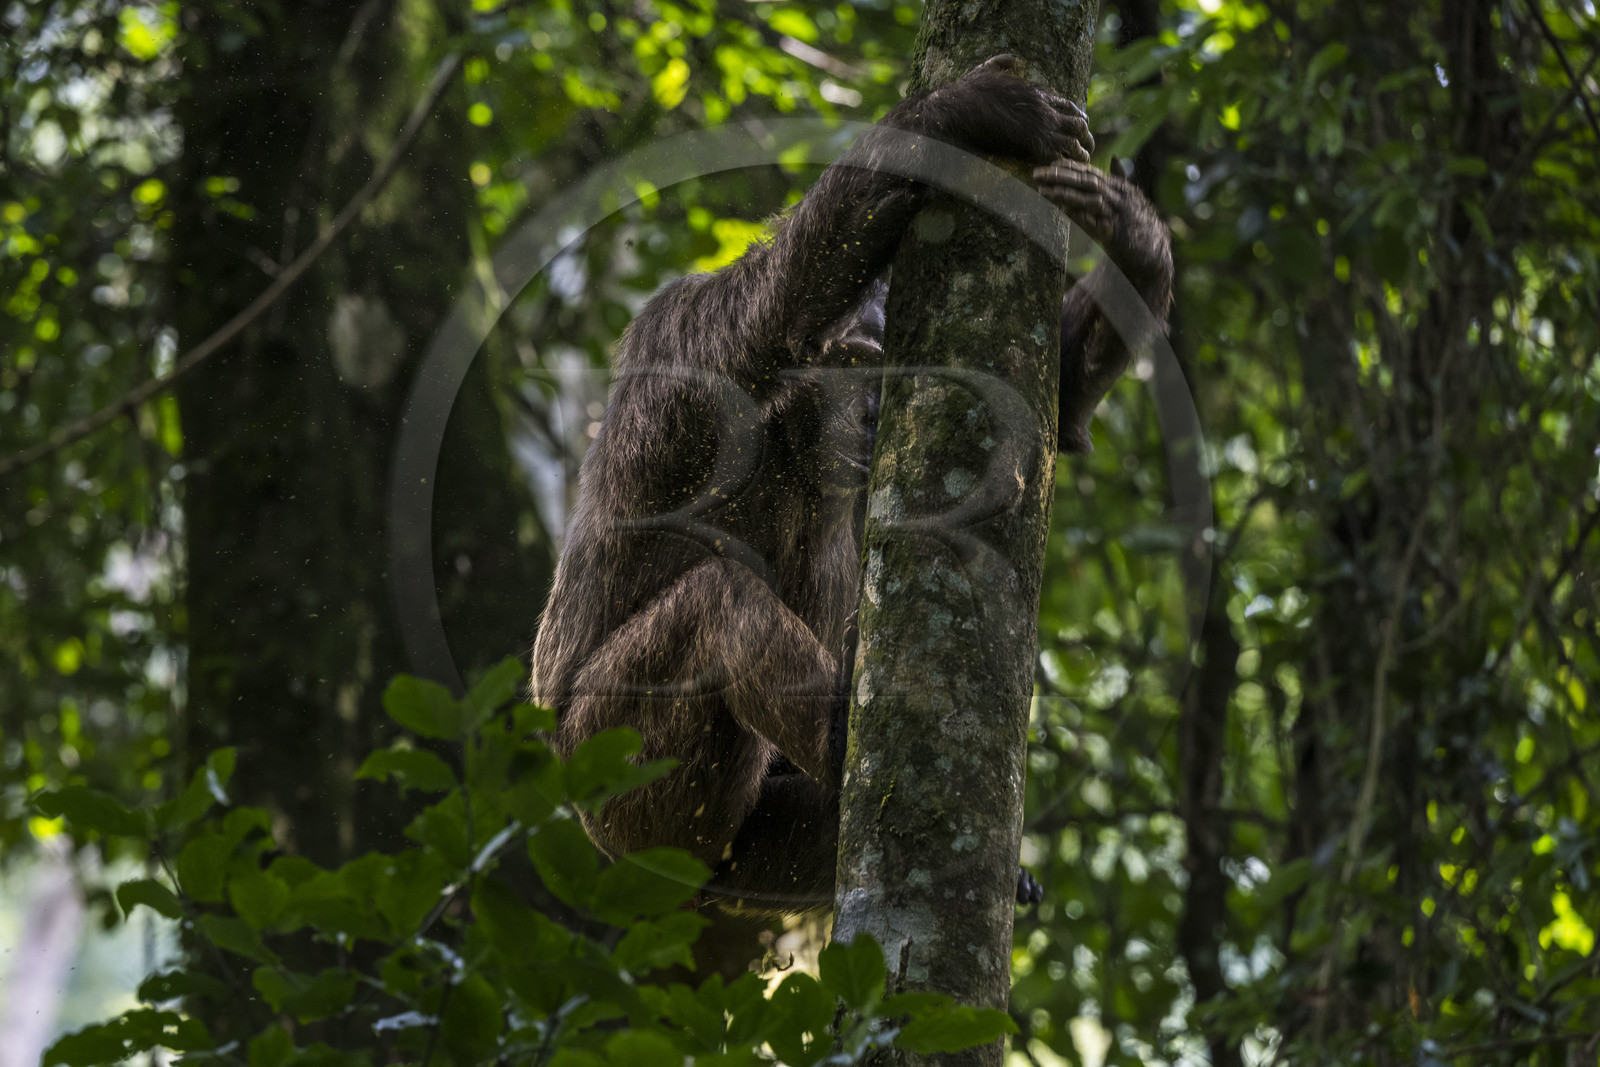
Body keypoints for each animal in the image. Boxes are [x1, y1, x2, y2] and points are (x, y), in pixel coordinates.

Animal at [530, 56, 1174, 915]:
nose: (873, 417)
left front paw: (1137, 245)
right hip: (622, 784)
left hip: (756, 850)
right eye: (868, 371)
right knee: (718, 607)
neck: (783, 436)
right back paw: (844, 742)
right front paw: (966, 111)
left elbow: (1051, 404)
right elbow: (776, 303)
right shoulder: (682, 344)